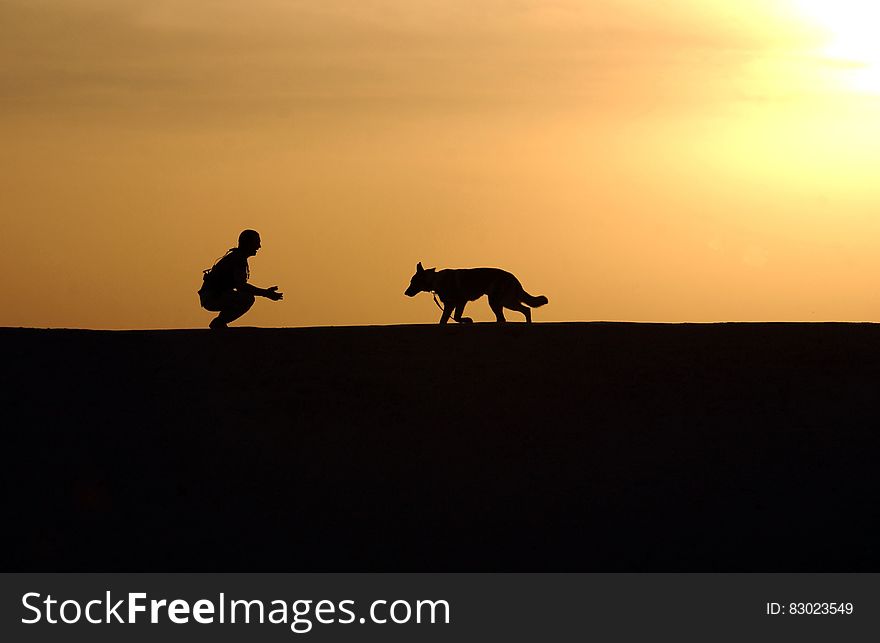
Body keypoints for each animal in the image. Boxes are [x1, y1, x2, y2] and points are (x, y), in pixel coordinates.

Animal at [404, 260, 544, 322]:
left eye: (412, 282)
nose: (405, 293)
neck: (435, 279)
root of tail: (513, 277)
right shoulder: (449, 305)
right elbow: (443, 321)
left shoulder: (460, 302)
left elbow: (457, 317)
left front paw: (466, 320)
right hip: (499, 302)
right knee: (505, 317)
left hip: (503, 301)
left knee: (526, 310)